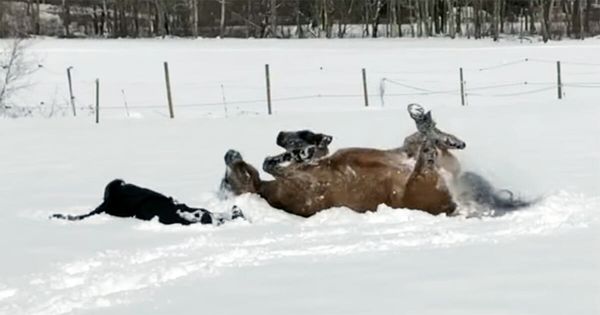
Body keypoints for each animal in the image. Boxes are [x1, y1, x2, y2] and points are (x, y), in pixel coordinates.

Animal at [220, 104, 474, 217]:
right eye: (226, 182)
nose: (229, 154)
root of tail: (451, 205)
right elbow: (270, 164)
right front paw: (303, 151)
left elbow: (277, 159)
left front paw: (307, 145)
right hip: (418, 181)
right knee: (426, 153)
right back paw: (427, 131)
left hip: (408, 156)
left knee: (418, 140)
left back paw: (431, 126)